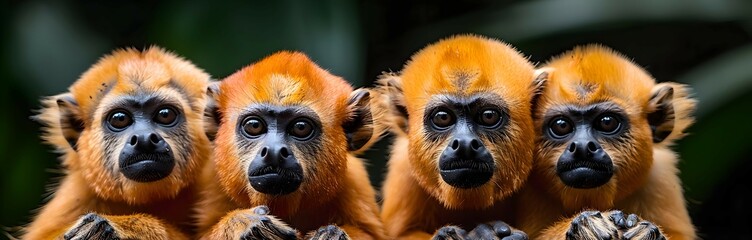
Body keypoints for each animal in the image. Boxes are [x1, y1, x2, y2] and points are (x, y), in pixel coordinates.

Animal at [194, 51, 388, 240]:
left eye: (301, 128)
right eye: (254, 126)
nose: (274, 152)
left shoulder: (355, 183)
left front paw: (332, 234)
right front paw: (246, 227)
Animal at [516, 44, 700, 238]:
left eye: (607, 122)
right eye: (561, 125)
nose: (582, 147)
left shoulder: (660, 177)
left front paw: (648, 232)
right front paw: (584, 226)